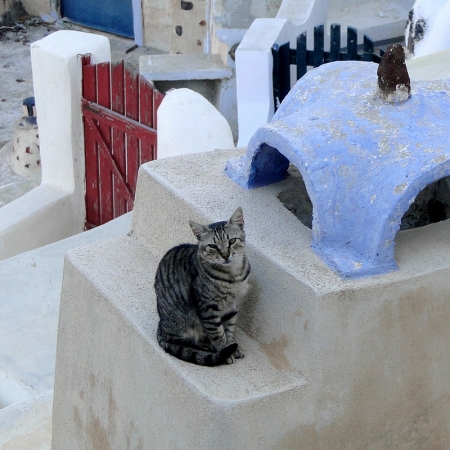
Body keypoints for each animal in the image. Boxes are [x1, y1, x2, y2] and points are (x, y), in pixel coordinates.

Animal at [156, 207, 251, 366]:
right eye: (213, 246)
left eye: (232, 241)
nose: (225, 255)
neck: (233, 275)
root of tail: (161, 325)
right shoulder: (208, 307)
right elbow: (218, 334)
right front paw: (225, 352)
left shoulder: (232, 306)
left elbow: (230, 328)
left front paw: (232, 346)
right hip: (183, 322)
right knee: (181, 341)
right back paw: (207, 346)